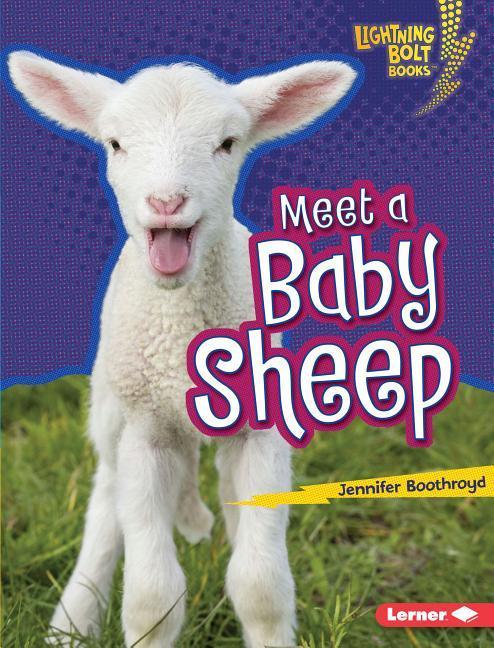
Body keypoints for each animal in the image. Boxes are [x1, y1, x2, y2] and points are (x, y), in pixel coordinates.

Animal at [7, 50, 358, 648]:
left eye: (227, 143)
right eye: (115, 144)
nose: (166, 202)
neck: (181, 346)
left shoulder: (261, 426)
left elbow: (261, 584)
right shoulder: (145, 430)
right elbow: (153, 597)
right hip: (111, 410)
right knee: (106, 502)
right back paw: (73, 620)